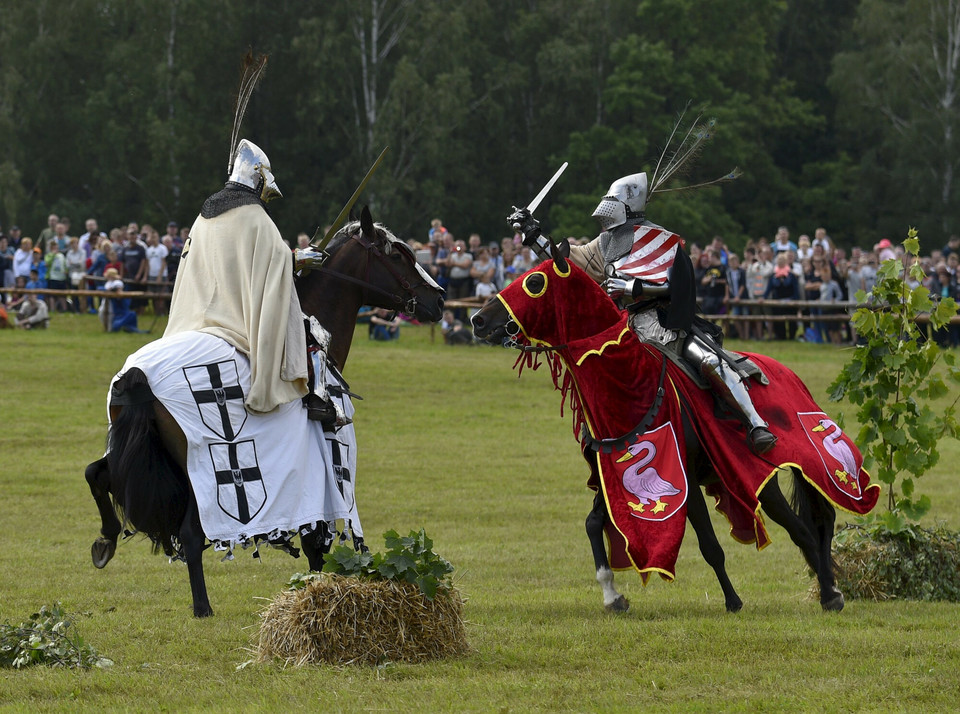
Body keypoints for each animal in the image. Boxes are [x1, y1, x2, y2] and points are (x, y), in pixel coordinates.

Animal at [84, 206, 444, 612]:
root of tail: (138, 375)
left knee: (95, 474)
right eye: (397, 255)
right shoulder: (323, 467)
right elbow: (316, 542)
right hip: (201, 473)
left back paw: (106, 541)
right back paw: (203, 608)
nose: (439, 299)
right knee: (191, 533)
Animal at [468, 245, 872, 612]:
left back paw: (830, 594)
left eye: (534, 282)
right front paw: (612, 595)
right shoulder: (613, 480)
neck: (631, 386)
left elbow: (710, 546)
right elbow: (593, 523)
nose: (478, 320)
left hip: (763, 473)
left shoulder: (684, 479)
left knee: (804, 529)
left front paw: (733, 602)